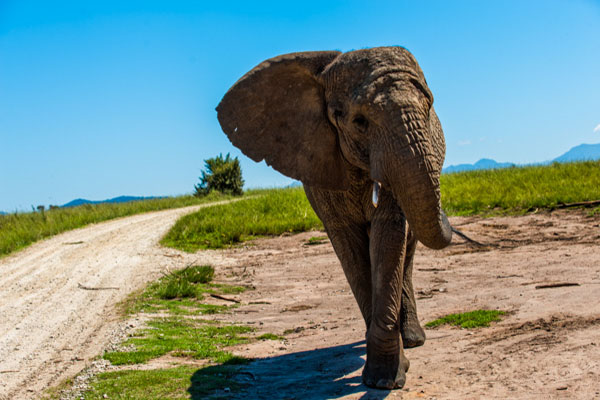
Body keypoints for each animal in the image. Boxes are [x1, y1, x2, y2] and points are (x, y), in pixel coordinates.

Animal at [216, 46, 450, 388]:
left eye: (429, 105)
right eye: (358, 121)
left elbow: (388, 236)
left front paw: (385, 379)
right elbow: (350, 249)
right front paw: (383, 377)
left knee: (406, 253)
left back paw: (413, 339)